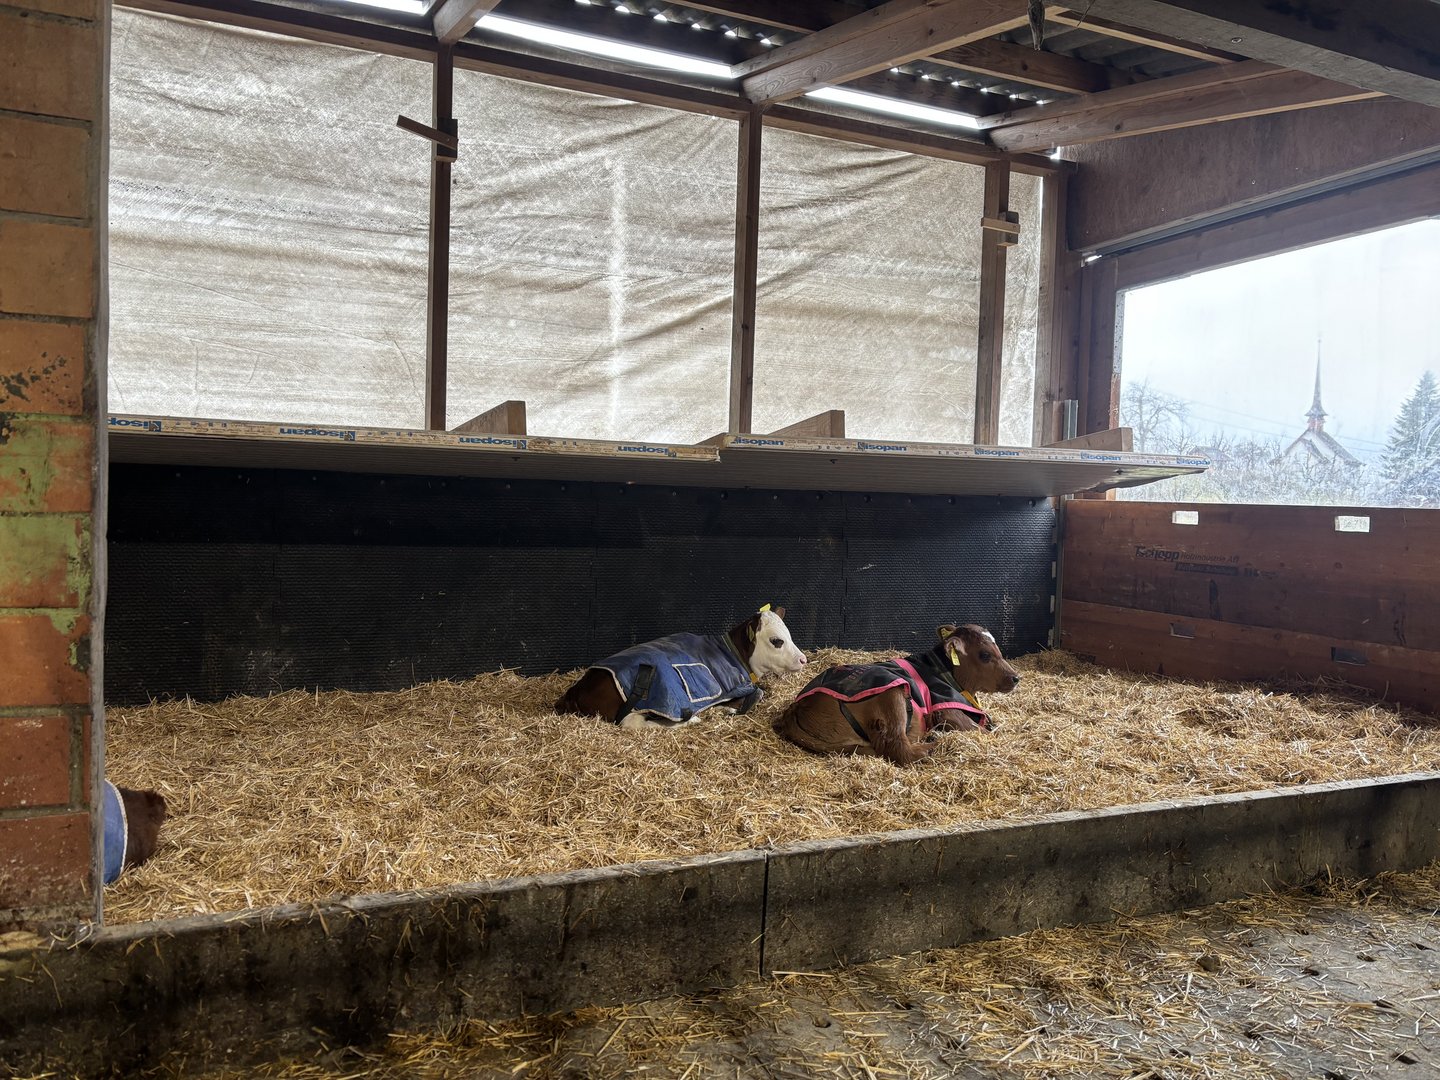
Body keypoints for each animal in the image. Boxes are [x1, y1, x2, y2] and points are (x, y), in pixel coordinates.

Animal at [554, 605, 807, 729]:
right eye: (776, 641)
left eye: (789, 634)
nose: (803, 659)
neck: (732, 653)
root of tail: (580, 687)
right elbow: (755, 695)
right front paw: (727, 709)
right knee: (633, 723)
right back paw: (693, 719)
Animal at [773, 623, 1020, 766]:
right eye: (985, 655)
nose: (1015, 677)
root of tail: (796, 707)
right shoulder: (946, 709)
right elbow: (983, 731)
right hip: (892, 692)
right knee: (898, 748)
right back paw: (934, 745)